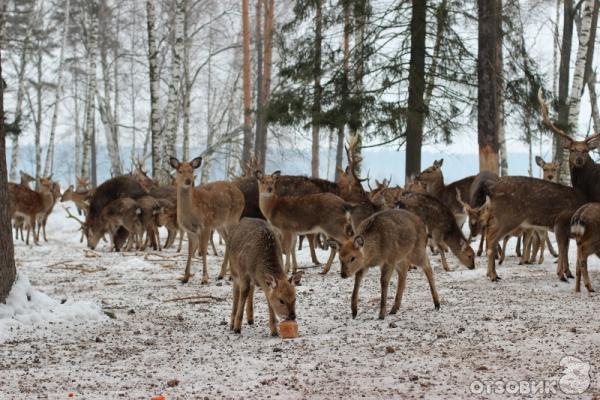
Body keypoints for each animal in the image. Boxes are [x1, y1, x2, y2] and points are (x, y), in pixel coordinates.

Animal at [169, 156, 244, 284]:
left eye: (191, 171)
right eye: (180, 171)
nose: (188, 181)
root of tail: (242, 194)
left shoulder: (206, 224)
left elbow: (203, 249)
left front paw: (204, 278)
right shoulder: (190, 230)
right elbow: (190, 250)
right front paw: (185, 277)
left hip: (234, 217)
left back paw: (229, 275)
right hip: (220, 224)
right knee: (228, 240)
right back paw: (222, 274)